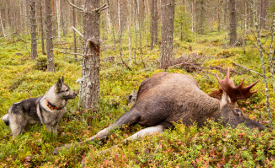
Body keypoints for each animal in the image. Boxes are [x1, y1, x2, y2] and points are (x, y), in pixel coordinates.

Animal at [54, 68, 268, 154]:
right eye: (238, 112)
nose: (264, 128)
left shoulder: (167, 125)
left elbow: (130, 139)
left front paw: (95, 155)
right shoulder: (138, 110)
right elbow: (102, 132)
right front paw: (64, 148)